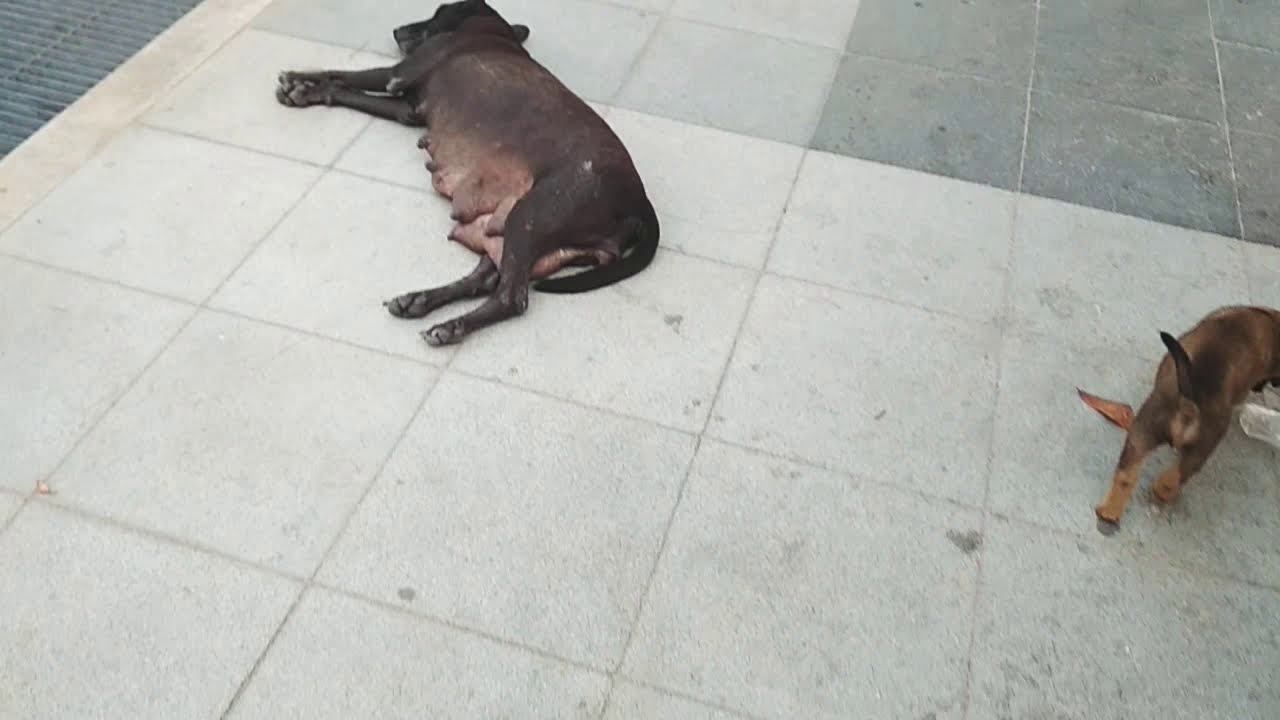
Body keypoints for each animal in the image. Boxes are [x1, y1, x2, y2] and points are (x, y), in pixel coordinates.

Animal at [277, 0, 660, 345]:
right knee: (486, 279)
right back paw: (422, 300)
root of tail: (638, 201)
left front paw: (299, 81)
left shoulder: (399, 73)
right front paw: (308, 90)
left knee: (511, 297)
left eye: (437, 12)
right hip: (512, 229)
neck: (495, 31)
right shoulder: (405, 108)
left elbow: (343, 75)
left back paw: (452, 327)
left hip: (531, 216)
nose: (397, 30)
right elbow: (348, 91)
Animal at [1080, 302, 1280, 532]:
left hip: (1142, 432)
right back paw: (1162, 492)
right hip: (1201, 448)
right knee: (1174, 477)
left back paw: (1109, 512)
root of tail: (1188, 403)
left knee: (1126, 476)